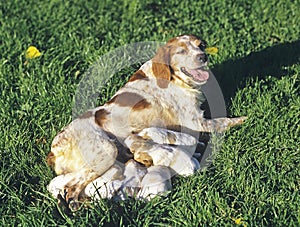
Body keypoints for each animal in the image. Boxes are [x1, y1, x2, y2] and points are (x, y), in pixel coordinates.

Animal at [45, 34, 245, 210]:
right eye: (181, 50)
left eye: (201, 45)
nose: (203, 56)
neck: (174, 78)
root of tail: (55, 148)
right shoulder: (197, 122)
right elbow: (222, 121)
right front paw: (243, 119)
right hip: (106, 151)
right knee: (70, 189)